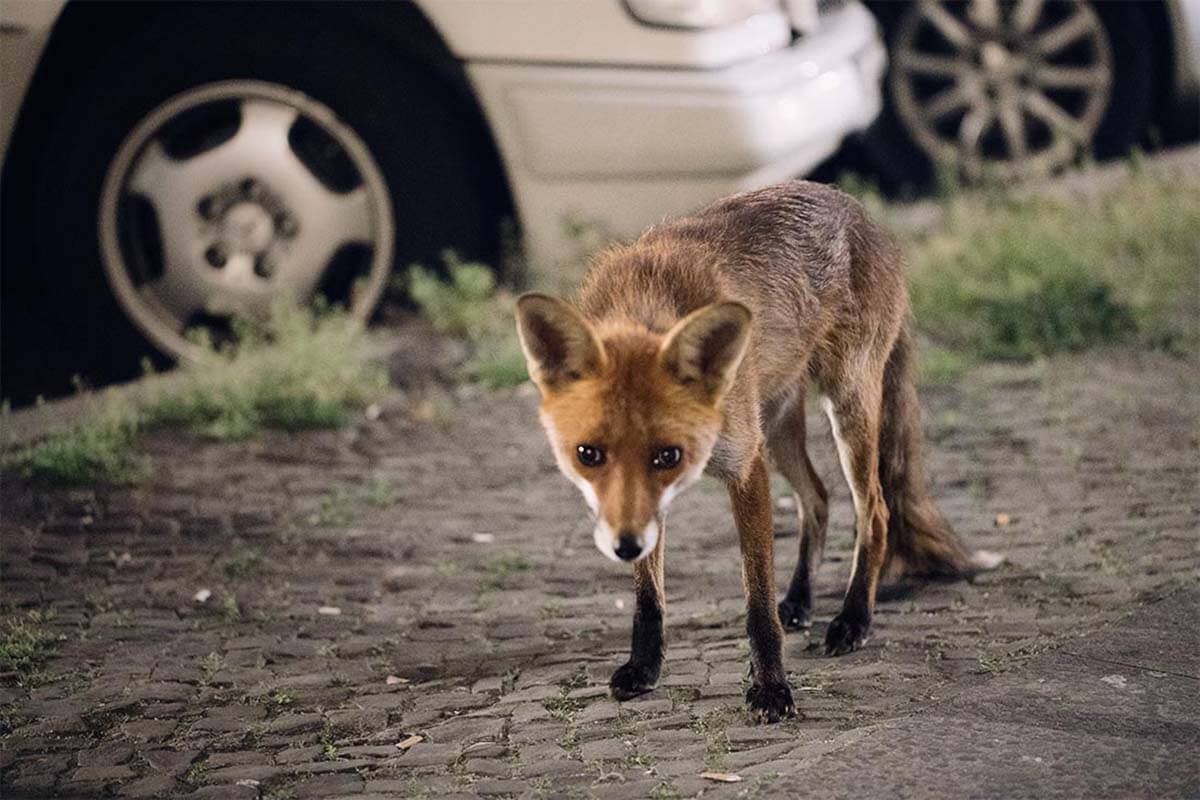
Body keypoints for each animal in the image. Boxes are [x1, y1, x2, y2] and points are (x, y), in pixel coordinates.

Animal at [511, 183, 998, 724]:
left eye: (668, 455)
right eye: (588, 454)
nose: (623, 546)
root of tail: (862, 212)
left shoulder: (745, 465)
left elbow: (757, 604)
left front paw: (770, 689)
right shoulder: (654, 500)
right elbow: (648, 596)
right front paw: (645, 668)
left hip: (844, 407)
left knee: (874, 509)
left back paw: (852, 619)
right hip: (779, 427)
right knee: (818, 498)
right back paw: (801, 600)